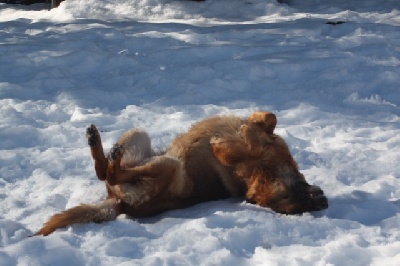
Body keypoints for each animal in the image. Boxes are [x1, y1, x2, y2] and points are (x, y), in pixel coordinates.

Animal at [34, 111, 328, 236]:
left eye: (287, 202)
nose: (319, 198)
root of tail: (118, 203)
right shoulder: (266, 138)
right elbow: (268, 117)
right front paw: (245, 129)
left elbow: (244, 141)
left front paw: (224, 143)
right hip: (140, 136)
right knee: (104, 169)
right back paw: (97, 142)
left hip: (169, 166)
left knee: (110, 174)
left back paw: (108, 155)